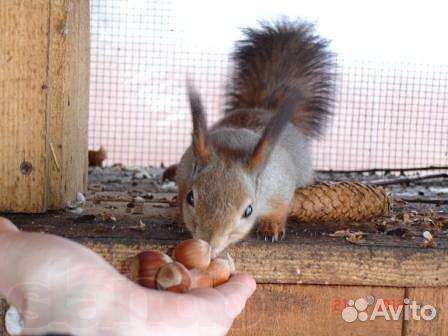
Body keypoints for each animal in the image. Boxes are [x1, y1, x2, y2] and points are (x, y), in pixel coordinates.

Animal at [174, 19, 332, 256]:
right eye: (190, 197)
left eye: (248, 210)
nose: (210, 244)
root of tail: (263, 110)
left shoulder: (281, 186)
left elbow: (280, 208)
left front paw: (272, 227)